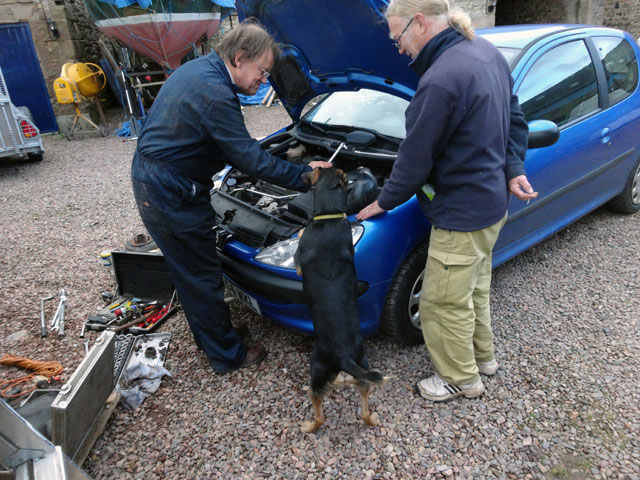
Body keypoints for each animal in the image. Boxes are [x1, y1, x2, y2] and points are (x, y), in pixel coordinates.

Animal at [296, 167, 384, 434]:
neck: (330, 217)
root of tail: (344, 358)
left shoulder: (298, 261)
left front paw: (300, 230)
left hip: (317, 374)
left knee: (320, 415)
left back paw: (308, 426)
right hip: (364, 374)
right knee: (364, 410)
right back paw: (373, 419)